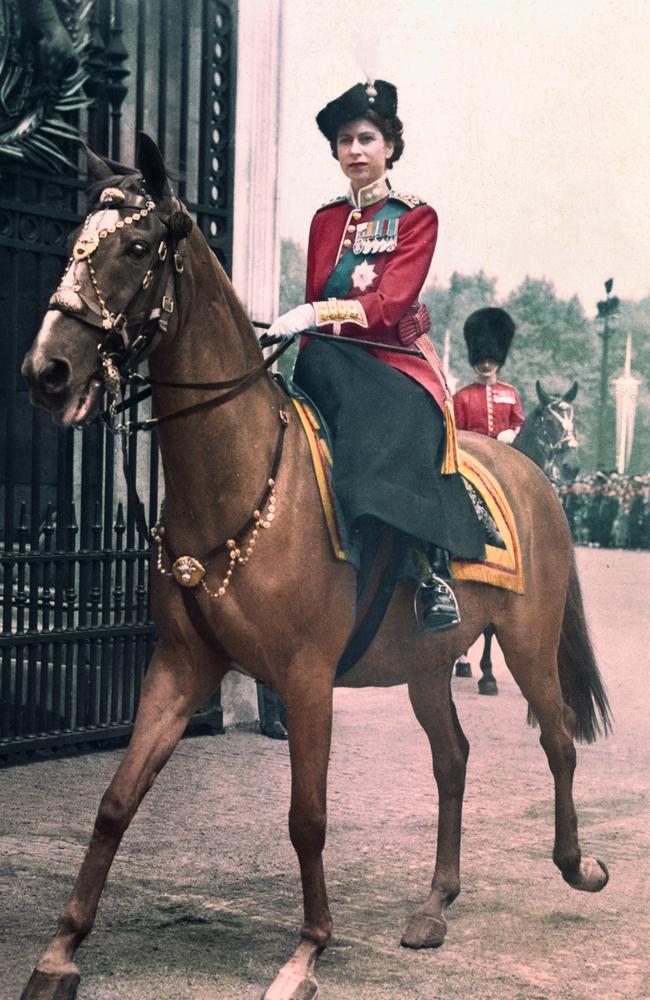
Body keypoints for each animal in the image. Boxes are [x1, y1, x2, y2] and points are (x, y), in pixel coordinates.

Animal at [20, 139, 608, 1000]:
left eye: (136, 245)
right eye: (74, 245)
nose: (48, 370)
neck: (239, 476)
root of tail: (537, 477)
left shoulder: (305, 676)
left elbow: (307, 816)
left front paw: (307, 951)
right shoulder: (180, 665)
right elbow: (116, 799)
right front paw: (61, 950)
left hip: (529, 643)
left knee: (559, 737)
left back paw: (576, 865)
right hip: (426, 662)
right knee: (454, 758)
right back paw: (435, 903)